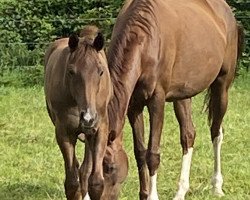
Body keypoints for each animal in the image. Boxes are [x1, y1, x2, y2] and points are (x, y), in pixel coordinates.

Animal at [44, 25, 129, 199]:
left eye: (100, 71)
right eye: (71, 71)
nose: (88, 118)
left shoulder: (100, 130)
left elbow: (95, 181)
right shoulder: (64, 132)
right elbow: (71, 183)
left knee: (85, 169)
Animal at [106, 0, 243, 200]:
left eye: (109, 167)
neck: (146, 38)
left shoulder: (157, 101)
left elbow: (152, 154)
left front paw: (152, 196)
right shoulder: (134, 105)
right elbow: (140, 152)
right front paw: (144, 194)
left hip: (222, 86)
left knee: (216, 132)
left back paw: (217, 186)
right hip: (183, 95)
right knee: (188, 135)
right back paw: (181, 191)